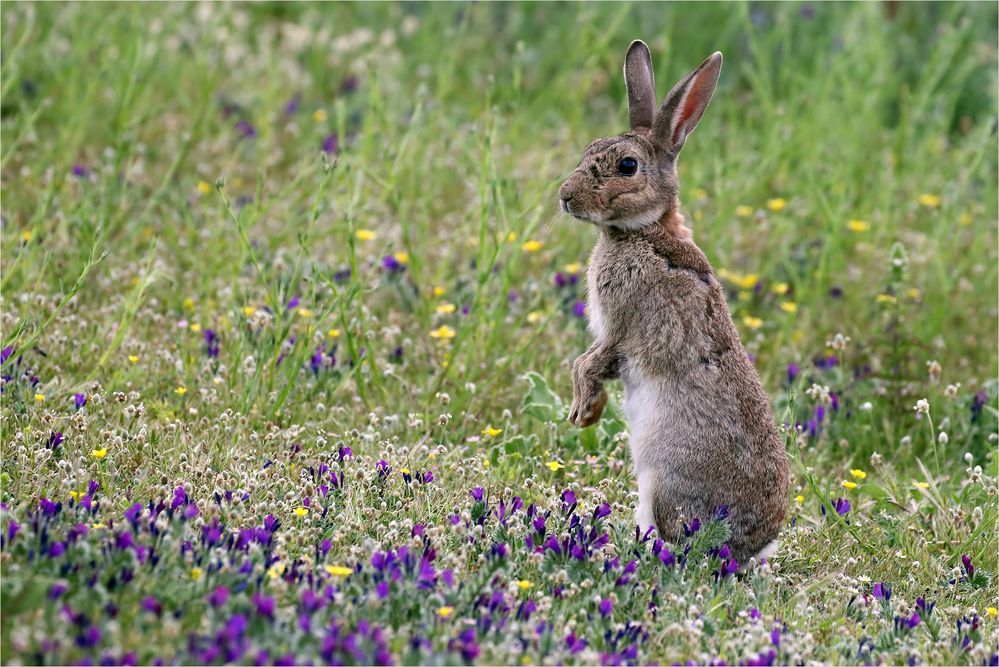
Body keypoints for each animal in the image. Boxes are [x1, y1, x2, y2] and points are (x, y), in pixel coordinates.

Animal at [564, 41, 788, 568]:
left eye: (627, 166)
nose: (565, 197)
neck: (644, 232)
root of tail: (749, 545)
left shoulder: (624, 329)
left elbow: (590, 362)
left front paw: (585, 412)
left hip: (661, 485)